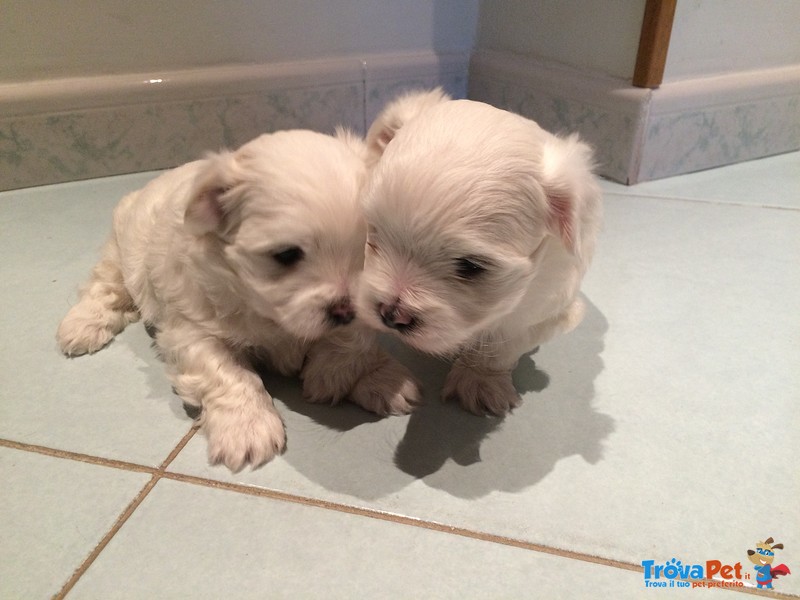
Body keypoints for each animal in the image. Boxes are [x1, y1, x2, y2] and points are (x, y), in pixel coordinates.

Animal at [57, 129, 418, 472]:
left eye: (369, 246)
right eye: (286, 255)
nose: (345, 310)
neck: (267, 313)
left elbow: (355, 339)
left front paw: (352, 374)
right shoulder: (192, 328)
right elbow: (227, 373)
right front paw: (247, 429)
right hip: (120, 250)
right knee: (105, 286)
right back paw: (81, 328)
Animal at [358, 90, 600, 418]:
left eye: (471, 267)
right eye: (375, 234)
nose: (391, 316)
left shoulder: (545, 309)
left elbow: (502, 341)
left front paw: (480, 381)